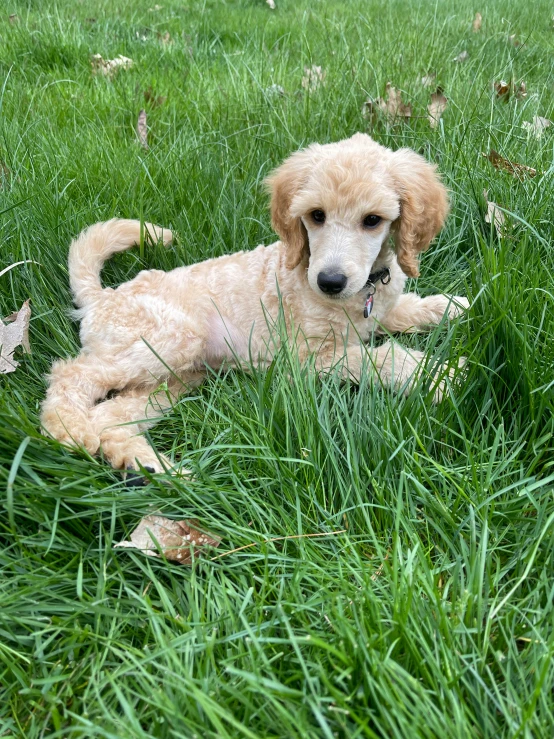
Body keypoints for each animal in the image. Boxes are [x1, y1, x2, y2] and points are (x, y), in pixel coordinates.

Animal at [42, 133, 466, 474]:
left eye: (372, 220)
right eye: (316, 216)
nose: (329, 282)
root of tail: (101, 296)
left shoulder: (375, 308)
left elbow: (400, 311)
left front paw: (450, 306)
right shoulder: (306, 357)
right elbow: (381, 358)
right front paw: (442, 374)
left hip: (174, 379)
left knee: (109, 418)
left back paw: (154, 468)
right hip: (167, 341)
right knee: (71, 375)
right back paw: (67, 430)